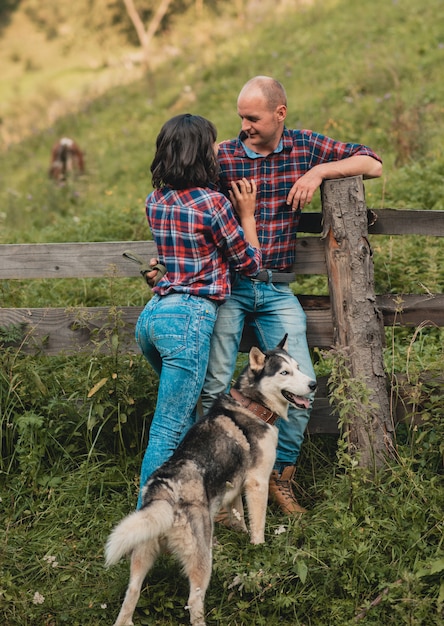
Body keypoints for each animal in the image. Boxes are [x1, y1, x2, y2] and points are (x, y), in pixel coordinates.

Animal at [106, 336, 318, 624]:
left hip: (142, 553)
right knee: (194, 601)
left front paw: (240, 535)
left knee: (130, 598)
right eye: (284, 373)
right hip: (200, 562)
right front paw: (259, 548)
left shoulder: (235, 487)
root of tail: (163, 491)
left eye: (297, 367)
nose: (313, 384)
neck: (252, 406)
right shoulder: (257, 482)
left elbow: (239, 517)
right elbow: (258, 525)